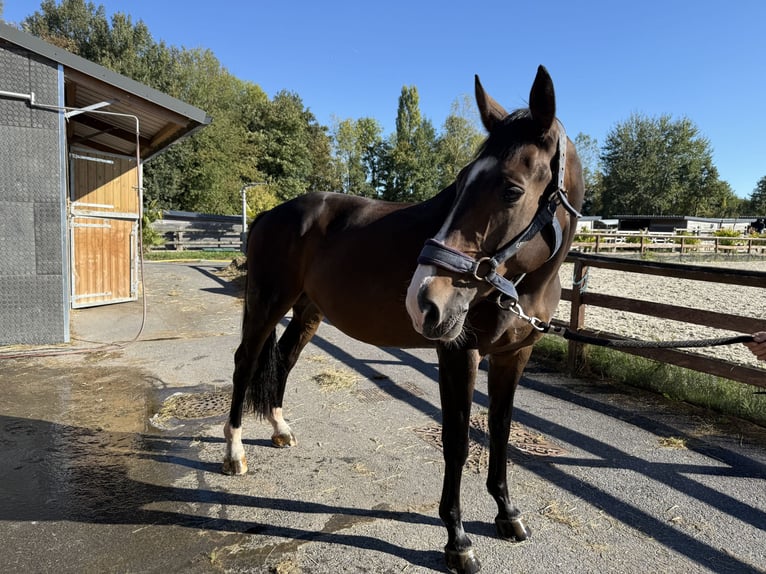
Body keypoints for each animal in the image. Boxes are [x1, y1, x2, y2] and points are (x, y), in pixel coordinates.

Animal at [223, 65, 584, 574]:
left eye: (512, 189)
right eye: (461, 182)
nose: (425, 300)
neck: (522, 282)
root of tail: (270, 213)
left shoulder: (515, 354)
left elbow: (501, 431)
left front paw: (507, 515)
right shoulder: (459, 353)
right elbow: (457, 440)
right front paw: (457, 541)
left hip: (308, 311)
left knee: (285, 359)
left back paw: (279, 430)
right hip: (266, 303)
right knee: (245, 363)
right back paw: (234, 453)